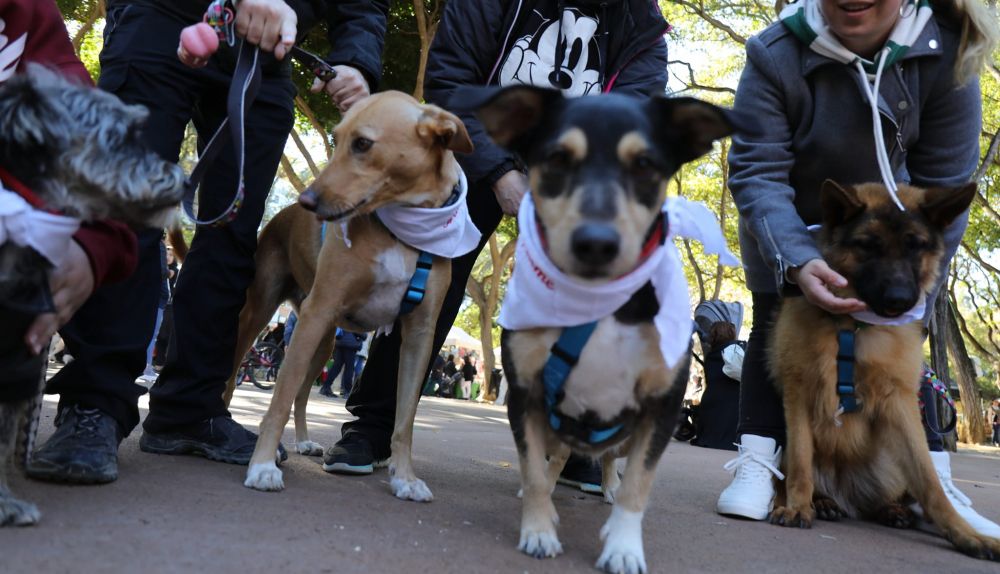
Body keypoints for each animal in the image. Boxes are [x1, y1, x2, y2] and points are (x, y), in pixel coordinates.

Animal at [236, 90, 474, 500]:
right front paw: (262, 465)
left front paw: (405, 478)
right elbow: (278, 400)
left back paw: (303, 441)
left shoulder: (420, 335)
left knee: (303, 393)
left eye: (362, 144)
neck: (402, 232)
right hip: (266, 313)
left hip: (324, 340)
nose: (308, 202)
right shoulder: (318, 311)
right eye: (335, 138)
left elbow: (405, 421)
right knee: (235, 372)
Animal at [468, 86, 752, 574]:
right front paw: (538, 530)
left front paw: (623, 547)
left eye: (645, 165)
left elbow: (639, 486)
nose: (596, 243)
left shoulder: (661, 408)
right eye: (557, 159)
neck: (598, 301)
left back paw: (607, 486)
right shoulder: (525, 394)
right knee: (554, 459)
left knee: (607, 462)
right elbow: (535, 471)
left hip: (624, 435)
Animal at [764, 180, 1000, 564]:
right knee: (795, 474)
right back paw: (821, 502)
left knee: (892, 496)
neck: (853, 327)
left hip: (891, 461)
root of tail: (846, 489)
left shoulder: (900, 405)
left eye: (916, 246)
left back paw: (892, 510)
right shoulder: (797, 392)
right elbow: (799, 463)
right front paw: (798, 506)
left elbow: (931, 484)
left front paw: (966, 534)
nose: (900, 300)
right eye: (868, 245)